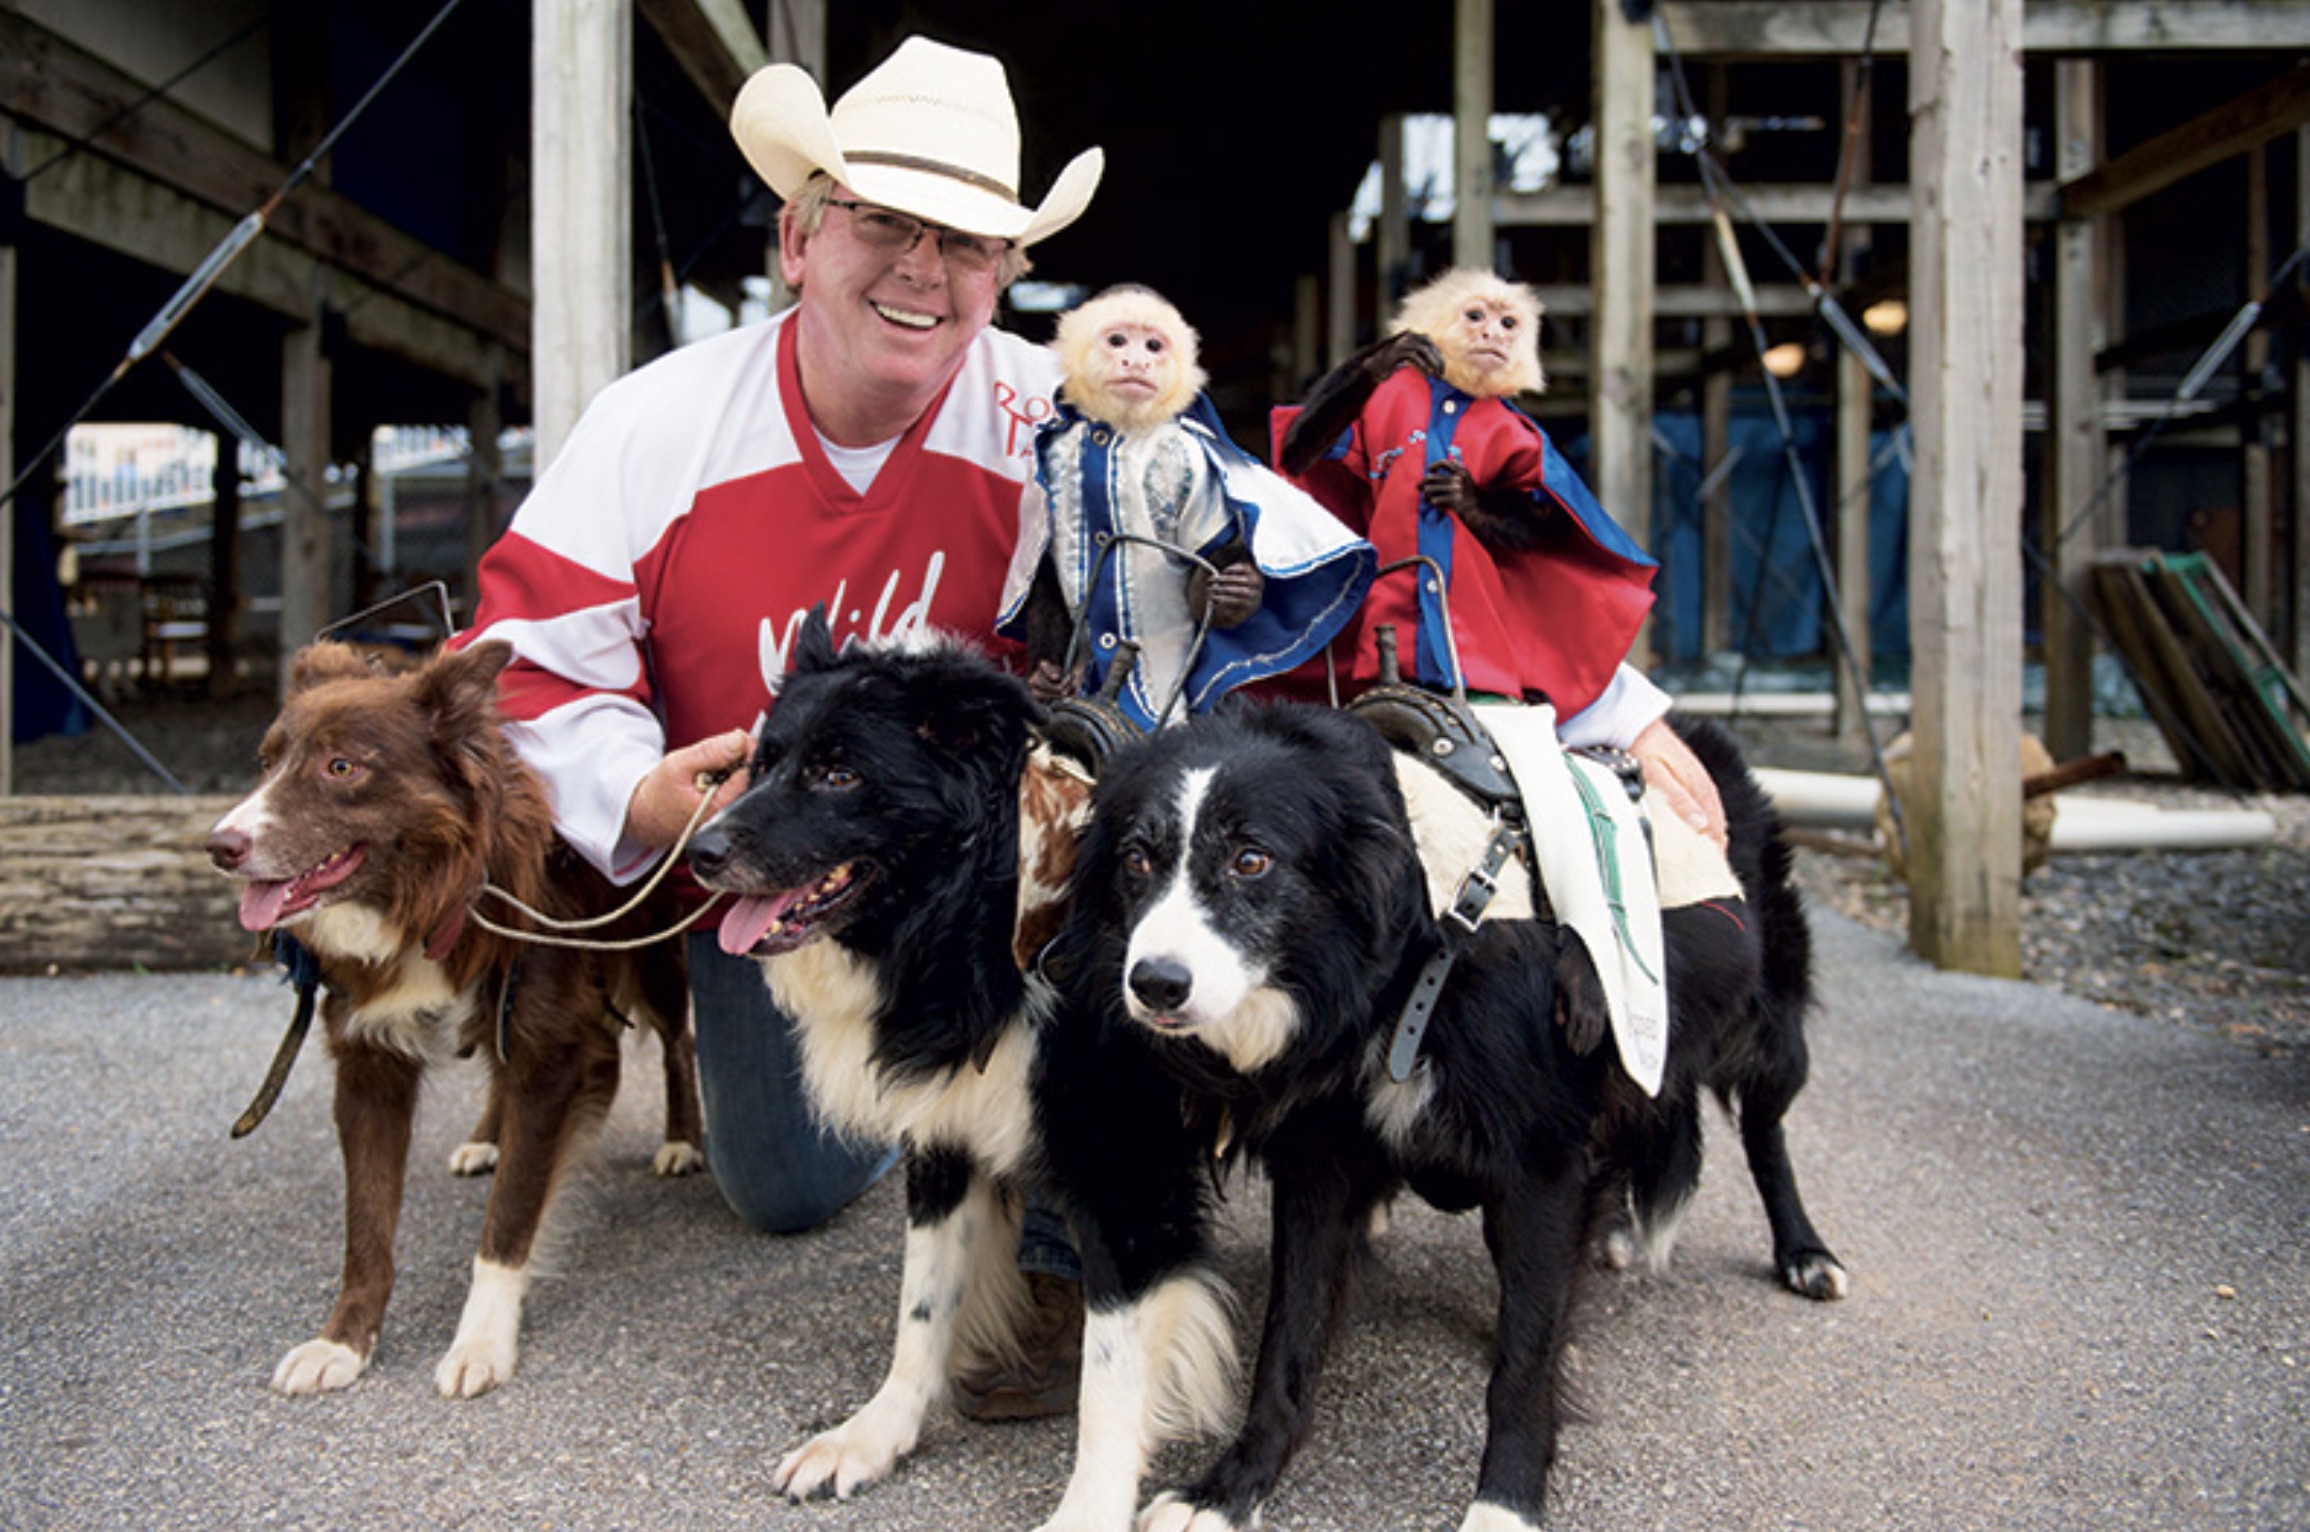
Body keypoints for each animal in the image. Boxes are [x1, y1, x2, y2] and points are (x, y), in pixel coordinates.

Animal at [206, 642, 693, 1395]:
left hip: (653, 952)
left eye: (341, 766)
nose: (219, 845)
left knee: (677, 1039)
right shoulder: (367, 1064)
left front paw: (481, 1342)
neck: (431, 893)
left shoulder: (551, 1053)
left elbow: (509, 1221)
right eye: (266, 761)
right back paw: (486, 1137)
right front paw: (342, 1342)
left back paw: (682, 1139)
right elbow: (366, 1230)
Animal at [688, 610, 1247, 1532]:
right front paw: (875, 1435)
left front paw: (1088, 1512)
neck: (986, 917)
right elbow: (924, 1303)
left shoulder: (1128, 1178)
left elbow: (1112, 1376)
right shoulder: (943, 1134)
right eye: (763, 763)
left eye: (839, 774)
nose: (700, 851)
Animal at [1057, 697, 1848, 1532]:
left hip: (1770, 1035)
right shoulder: (1322, 1162)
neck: (1417, 954)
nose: (1153, 984)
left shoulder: (1542, 1165)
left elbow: (1521, 1366)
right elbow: (1288, 1336)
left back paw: (1805, 1253)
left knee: (1765, 1132)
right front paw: (1231, 1489)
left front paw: (1504, 1505)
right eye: (1137, 860)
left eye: (1251, 861)